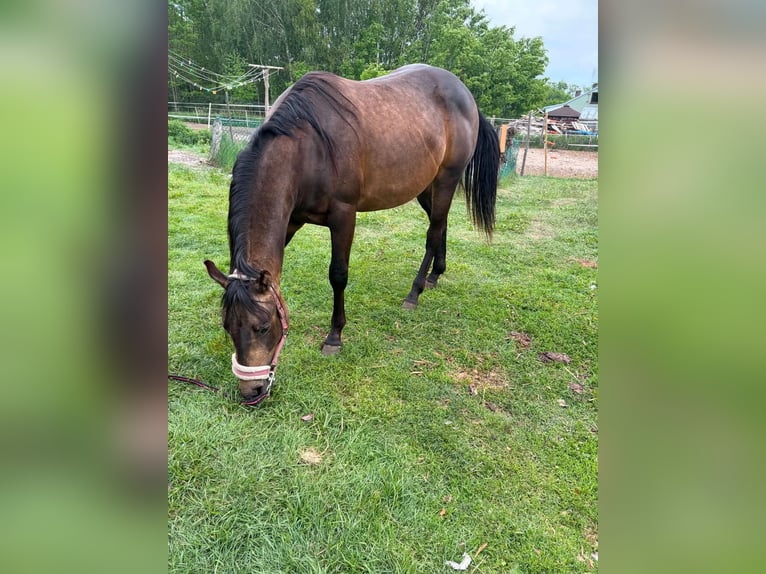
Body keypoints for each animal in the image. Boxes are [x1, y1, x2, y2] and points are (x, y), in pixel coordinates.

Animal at [204, 64, 500, 402]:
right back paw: (435, 275)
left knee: (433, 233)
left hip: (447, 180)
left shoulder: (344, 216)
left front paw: (334, 336)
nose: (250, 390)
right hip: (427, 187)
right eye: (227, 326)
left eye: (264, 327)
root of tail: (466, 96)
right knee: (441, 226)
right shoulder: (291, 220)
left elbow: (338, 275)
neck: (307, 145)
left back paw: (415, 292)